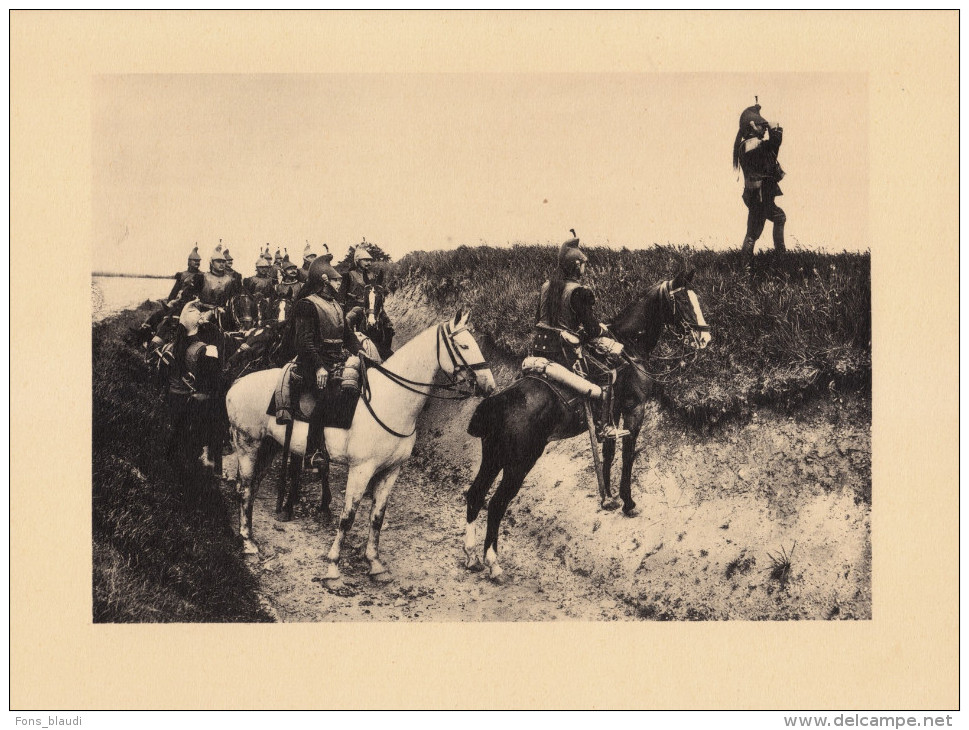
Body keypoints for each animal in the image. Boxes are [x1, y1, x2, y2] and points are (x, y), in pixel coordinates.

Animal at [225, 308, 492, 584]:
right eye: (464, 345)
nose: (489, 385)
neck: (391, 399)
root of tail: (237, 384)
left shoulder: (390, 471)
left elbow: (377, 517)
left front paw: (374, 563)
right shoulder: (361, 470)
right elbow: (348, 517)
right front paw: (333, 566)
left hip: (270, 447)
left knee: (252, 488)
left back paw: (250, 536)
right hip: (247, 444)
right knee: (245, 489)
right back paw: (248, 545)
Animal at [462, 268, 712, 580]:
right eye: (685, 302)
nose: (706, 338)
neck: (630, 347)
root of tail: (498, 403)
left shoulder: (611, 416)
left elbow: (608, 452)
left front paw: (608, 498)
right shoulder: (634, 411)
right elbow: (627, 455)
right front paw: (627, 502)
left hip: (494, 457)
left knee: (475, 495)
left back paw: (471, 555)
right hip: (519, 464)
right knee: (496, 504)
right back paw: (493, 562)